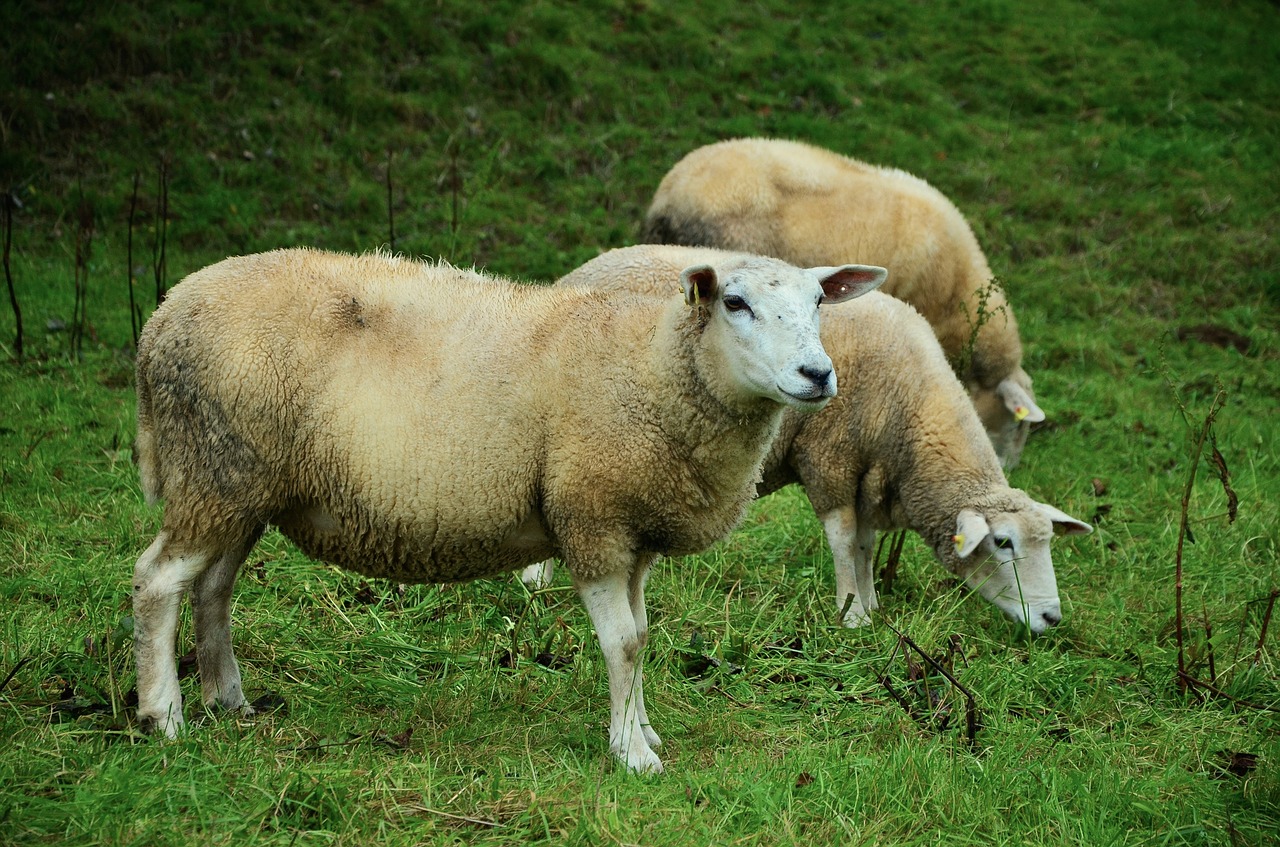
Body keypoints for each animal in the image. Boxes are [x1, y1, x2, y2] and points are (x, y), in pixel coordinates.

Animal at [132, 245, 890, 777]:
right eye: (734, 302)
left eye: (820, 300)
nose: (818, 375)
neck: (654, 367)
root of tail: (161, 317)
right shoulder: (592, 517)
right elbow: (624, 642)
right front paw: (632, 754)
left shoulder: (633, 530)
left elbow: (643, 635)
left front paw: (641, 729)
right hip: (214, 465)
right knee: (158, 581)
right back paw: (164, 715)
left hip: (239, 483)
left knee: (213, 587)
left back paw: (227, 698)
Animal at [519, 244, 1090, 629]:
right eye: (1002, 543)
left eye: (1046, 542)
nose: (1051, 619)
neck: (910, 411)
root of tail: (580, 270)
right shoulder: (829, 456)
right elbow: (842, 538)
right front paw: (851, 615)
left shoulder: (867, 472)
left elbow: (865, 542)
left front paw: (871, 604)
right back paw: (536, 582)